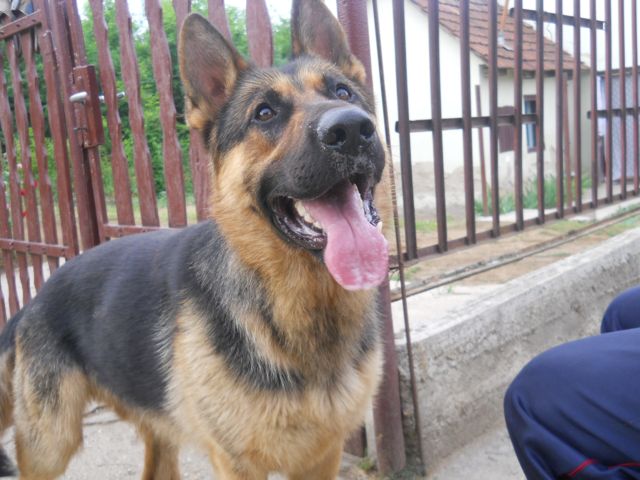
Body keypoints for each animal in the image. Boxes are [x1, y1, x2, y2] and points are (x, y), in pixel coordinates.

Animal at [0, 0, 388, 478]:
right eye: (264, 113)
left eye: (343, 93)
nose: (351, 129)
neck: (301, 302)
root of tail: (32, 301)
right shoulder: (238, 465)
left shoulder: (322, 457)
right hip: (50, 444)